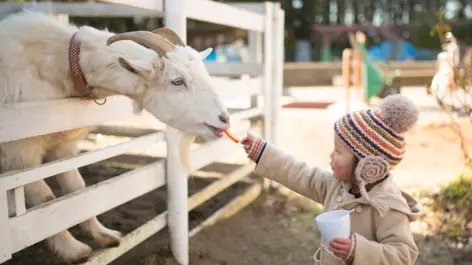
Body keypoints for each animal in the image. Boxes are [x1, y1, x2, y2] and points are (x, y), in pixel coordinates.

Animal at [0, 10, 229, 262]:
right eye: (177, 81)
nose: (224, 119)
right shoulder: (21, 153)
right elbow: (45, 199)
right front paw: (74, 250)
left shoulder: (63, 146)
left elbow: (77, 189)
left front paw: (104, 235)